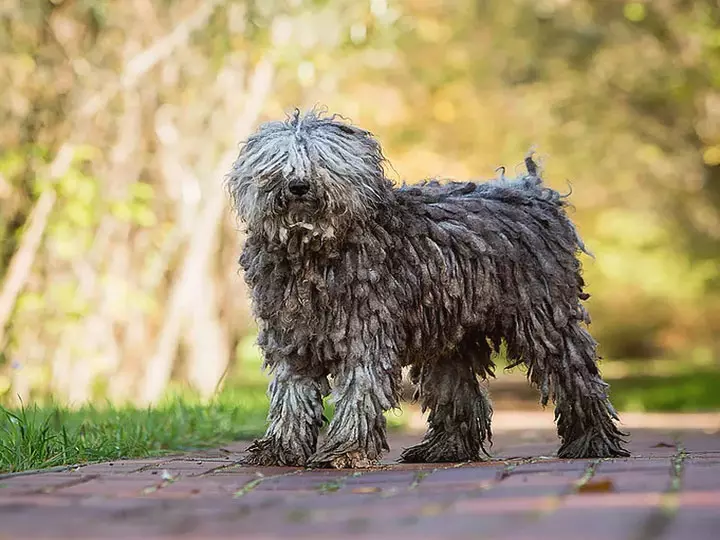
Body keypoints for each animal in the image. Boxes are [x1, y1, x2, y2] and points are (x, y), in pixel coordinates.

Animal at [226, 108, 632, 468]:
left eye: (320, 160)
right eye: (279, 161)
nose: (298, 186)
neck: (312, 253)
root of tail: (536, 194)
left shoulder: (365, 333)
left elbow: (359, 391)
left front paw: (346, 451)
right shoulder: (291, 338)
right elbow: (291, 396)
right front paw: (280, 449)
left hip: (545, 319)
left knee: (577, 378)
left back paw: (592, 441)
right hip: (451, 335)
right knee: (458, 393)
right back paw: (444, 449)